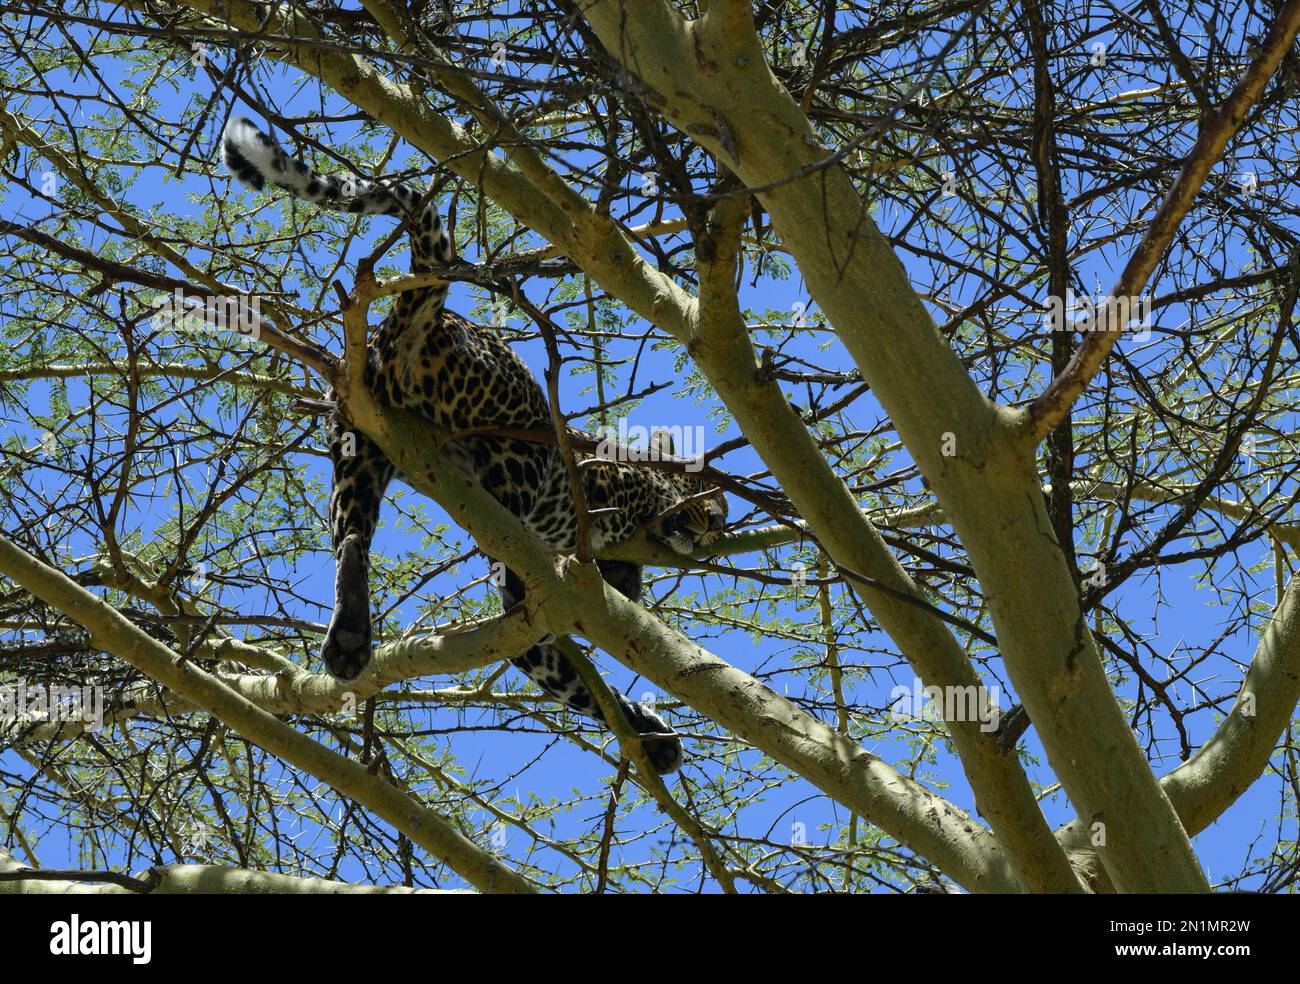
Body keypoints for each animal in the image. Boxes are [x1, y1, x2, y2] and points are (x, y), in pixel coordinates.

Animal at [219, 116, 728, 774]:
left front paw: (645, 732)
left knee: (351, 535)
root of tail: (410, 326)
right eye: (707, 492)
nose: (718, 525)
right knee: (498, 546)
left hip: (359, 442)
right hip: (515, 446)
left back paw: (352, 635)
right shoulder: (607, 487)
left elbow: (573, 679)